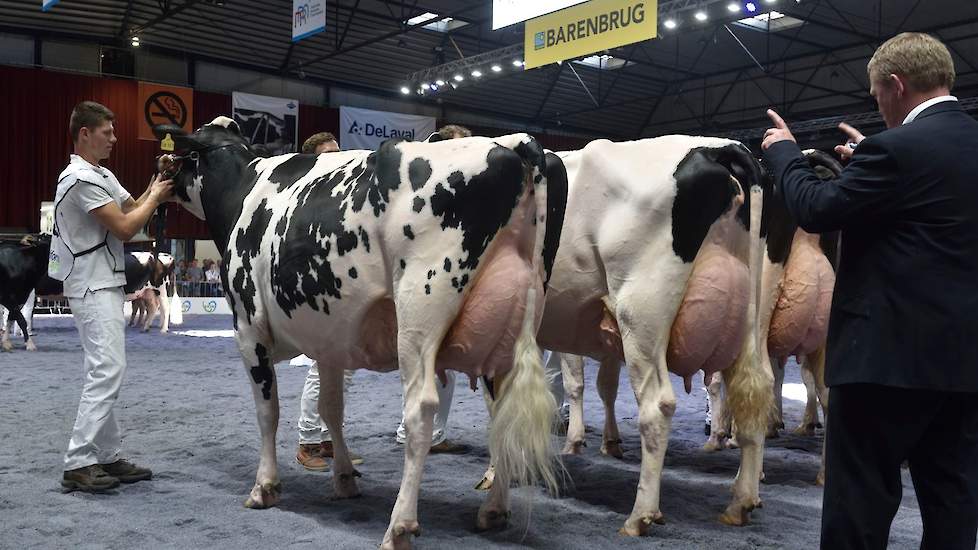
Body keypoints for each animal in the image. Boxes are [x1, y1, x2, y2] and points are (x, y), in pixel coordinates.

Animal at [154, 117, 564, 550]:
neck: (243, 189)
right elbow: (330, 407)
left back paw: (400, 525)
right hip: (511, 324)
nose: (161, 171)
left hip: (420, 309)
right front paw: (345, 477)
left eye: (184, 156)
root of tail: (516, 142)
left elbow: (268, 411)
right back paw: (494, 509)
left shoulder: (249, 328)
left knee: (420, 411)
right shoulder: (327, 338)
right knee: (502, 414)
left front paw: (264, 486)